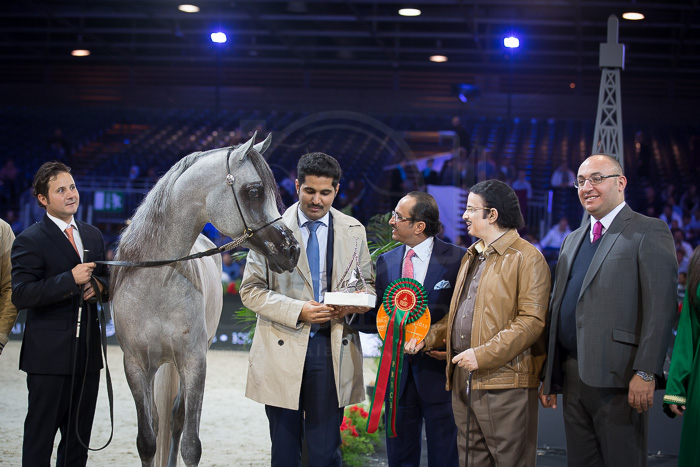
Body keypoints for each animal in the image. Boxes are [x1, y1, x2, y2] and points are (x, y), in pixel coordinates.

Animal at [110, 134, 300, 467]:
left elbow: (190, 444)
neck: (156, 283)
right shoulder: (134, 364)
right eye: (254, 191)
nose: (291, 249)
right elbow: (147, 440)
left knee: (175, 420)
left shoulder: (194, 362)